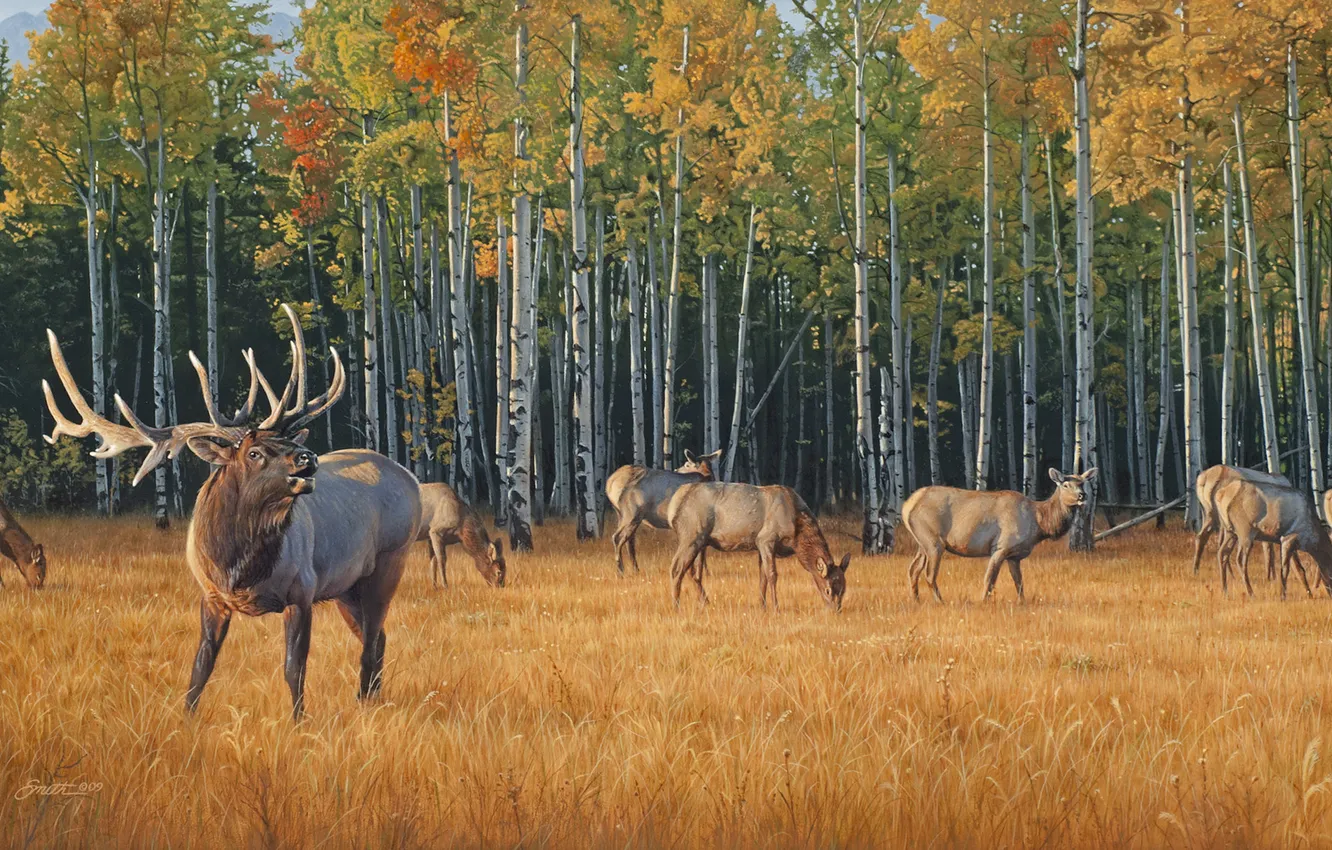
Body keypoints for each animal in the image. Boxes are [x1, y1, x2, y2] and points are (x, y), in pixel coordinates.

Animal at [43, 304, 422, 721]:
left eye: (288, 441)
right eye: (254, 452)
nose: (308, 459)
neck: (238, 568)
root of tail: (411, 480)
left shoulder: (302, 590)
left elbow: (294, 667)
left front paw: (298, 722)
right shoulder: (211, 595)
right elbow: (201, 665)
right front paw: (187, 718)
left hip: (390, 560)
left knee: (371, 640)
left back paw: (365, 703)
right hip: (345, 587)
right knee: (377, 637)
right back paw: (370, 698)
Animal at [663, 481, 850, 612]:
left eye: (844, 589)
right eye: (828, 590)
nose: (836, 610)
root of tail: (673, 506)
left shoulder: (760, 546)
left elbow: (763, 578)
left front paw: (762, 606)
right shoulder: (766, 539)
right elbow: (773, 575)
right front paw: (776, 608)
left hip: (701, 541)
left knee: (694, 573)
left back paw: (705, 602)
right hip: (691, 534)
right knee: (676, 568)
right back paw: (676, 606)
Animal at [901, 467, 1098, 603]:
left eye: (1082, 483)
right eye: (1065, 484)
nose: (1082, 495)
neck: (1039, 524)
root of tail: (906, 506)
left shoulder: (1014, 556)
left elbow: (1019, 582)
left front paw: (1022, 602)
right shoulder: (1001, 547)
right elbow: (989, 579)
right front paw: (983, 602)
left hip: (922, 542)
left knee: (913, 570)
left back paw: (916, 600)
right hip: (933, 541)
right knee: (929, 574)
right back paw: (940, 601)